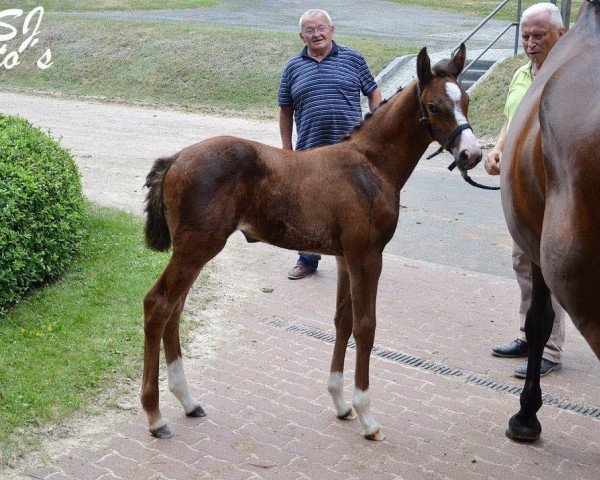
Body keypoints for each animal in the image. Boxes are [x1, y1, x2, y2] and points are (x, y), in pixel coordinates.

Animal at [142, 44, 482, 438]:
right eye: (434, 106)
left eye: (466, 100)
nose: (472, 154)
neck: (371, 164)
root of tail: (176, 158)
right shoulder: (368, 256)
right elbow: (366, 326)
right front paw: (366, 416)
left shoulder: (344, 257)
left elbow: (343, 321)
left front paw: (341, 403)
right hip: (196, 248)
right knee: (158, 305)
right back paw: (155, 415)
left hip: (194, 251)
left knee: (175, 308)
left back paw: (188, 401)